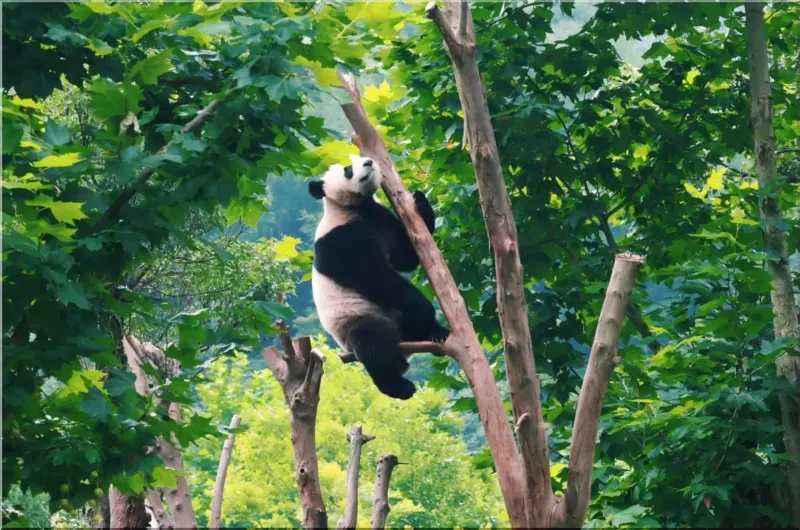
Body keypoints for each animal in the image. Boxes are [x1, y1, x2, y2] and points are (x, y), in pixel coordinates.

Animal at [308, 154, 450, 400]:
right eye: (348, 168)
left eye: (359, 156)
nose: (368, 162)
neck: (356, 207)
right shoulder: (340, 241)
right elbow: (375, 277)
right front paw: (424, 308)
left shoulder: (381, 219)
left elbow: (406, 258)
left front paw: (419, 199)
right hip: (356, 319)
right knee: (372, 342)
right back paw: (399, 386)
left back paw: (436, 333)